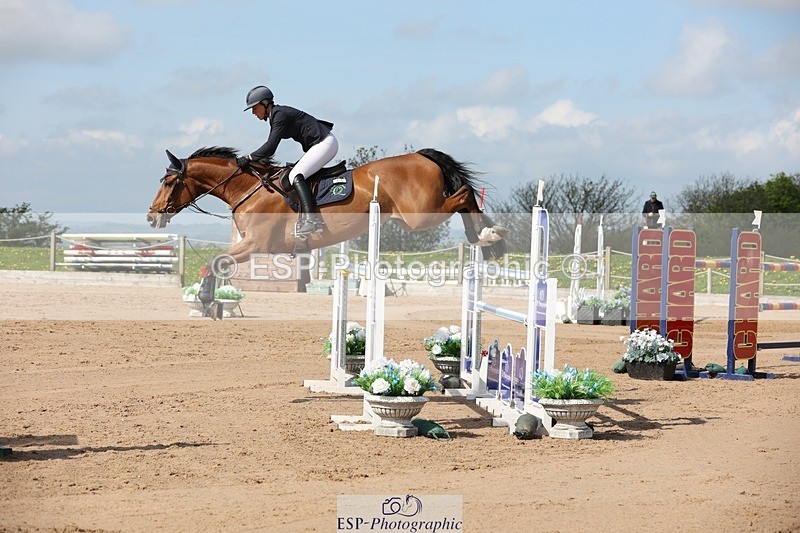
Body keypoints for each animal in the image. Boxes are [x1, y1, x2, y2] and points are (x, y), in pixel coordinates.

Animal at [147, 146, 508, 272]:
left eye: (168, 182)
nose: (151, 216)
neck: (249, 188)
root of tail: (421, 155)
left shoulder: (256, 245)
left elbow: (212, 263)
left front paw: (207, 302)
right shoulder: (251, 246)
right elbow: (215, 263)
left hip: (421, 214)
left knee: (464, 194)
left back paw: (488, 235)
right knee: (463, 195)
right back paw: (489, 240)